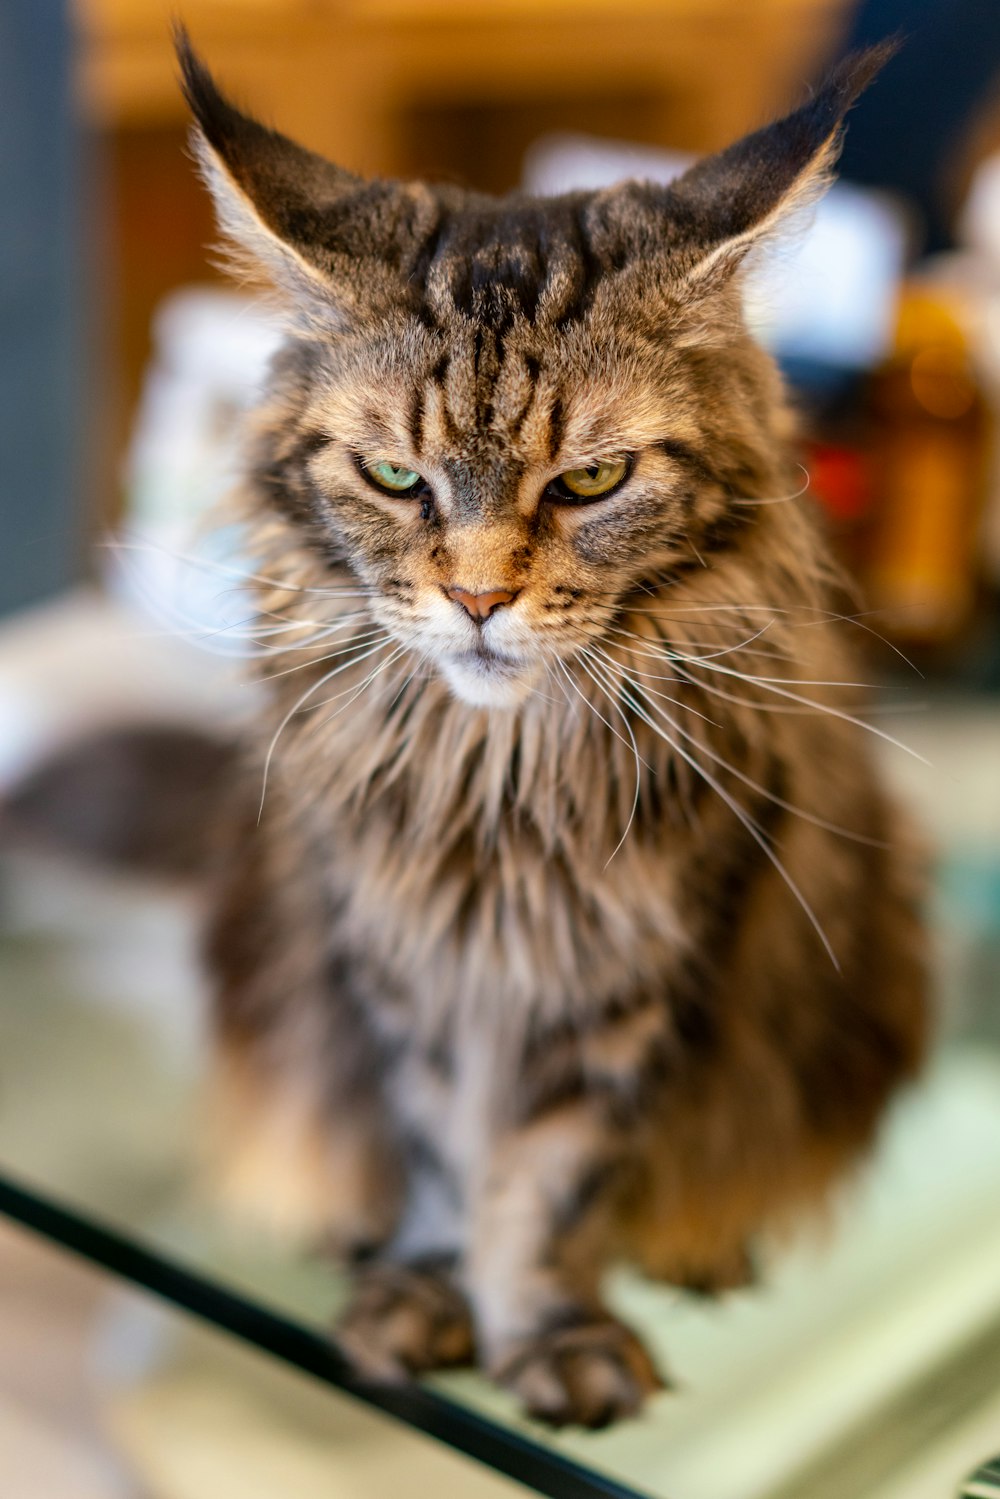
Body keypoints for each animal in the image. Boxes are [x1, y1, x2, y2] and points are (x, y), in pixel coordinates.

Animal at [173, 29, 929, 1421]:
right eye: (396, 477)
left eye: (589, 480)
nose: (477, 597)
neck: (499, 781)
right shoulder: (400, 961)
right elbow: (439, 1150)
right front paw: (424, 1288)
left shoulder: (633, 974)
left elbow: (546, 1178)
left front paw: (542, 1327)